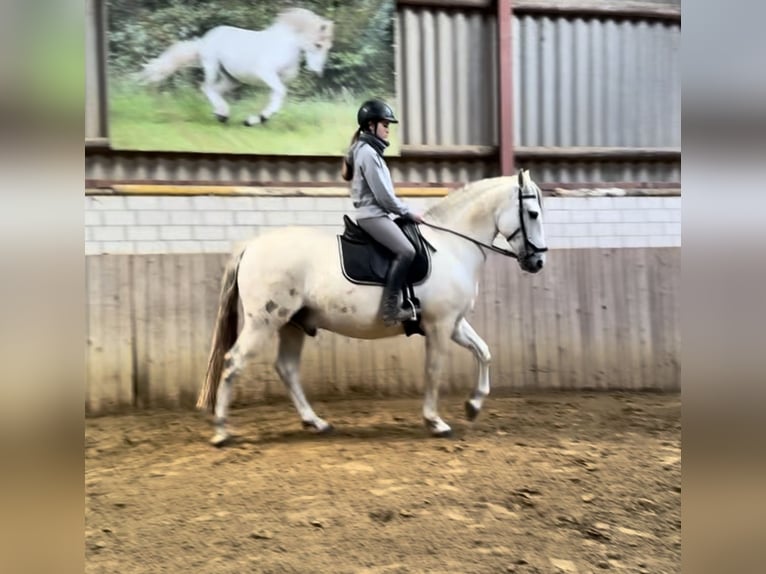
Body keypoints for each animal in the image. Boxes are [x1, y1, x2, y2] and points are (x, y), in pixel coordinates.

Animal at [139, 7, 336, 125]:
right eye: (318, 45)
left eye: (328, 47)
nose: (317, 72)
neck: (285, 46)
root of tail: (205, 40)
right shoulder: (266, 73)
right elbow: (280, 93)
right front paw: (257, 119)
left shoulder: (278, 81)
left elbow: (277, 98)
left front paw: (257, 119)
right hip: (212, 66)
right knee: (206, 88)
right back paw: (222, 114)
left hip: (232, 79)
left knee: (215, 90)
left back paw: (222, 115)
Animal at [198, 169, 544, 448]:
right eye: (532, 213)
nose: (538, 262)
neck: (452, 246)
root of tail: (251, 245)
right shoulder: (440, 324)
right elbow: (434, 371)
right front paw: (435, 422)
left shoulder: (454, 323)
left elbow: (484, 352)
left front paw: (473, 406)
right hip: (264, 322)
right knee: (234, 362)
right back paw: (221, 432)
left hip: (292, 324)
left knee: (287, 368)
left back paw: (316, 422)